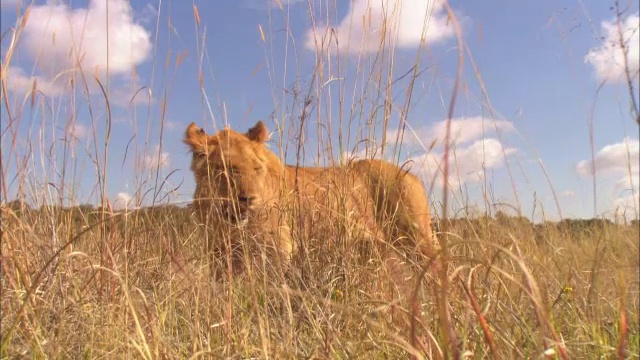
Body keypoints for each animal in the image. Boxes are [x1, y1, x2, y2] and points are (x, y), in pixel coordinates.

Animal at [182, 119, 438, 280]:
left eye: (256, 169)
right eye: (224, 169)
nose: (249, 199)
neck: (225, 224)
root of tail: (411, 174)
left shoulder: (277, 249)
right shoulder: (218, 254)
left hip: (417, 239)